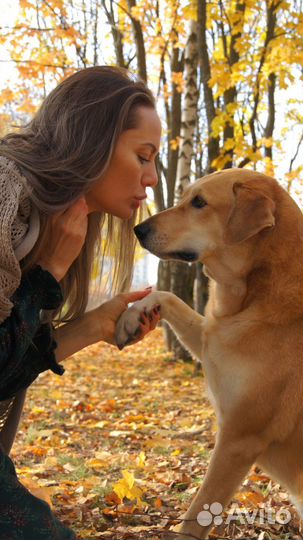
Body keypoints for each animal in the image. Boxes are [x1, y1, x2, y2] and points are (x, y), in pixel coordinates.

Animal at [115, 169, 302, 540]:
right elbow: (168, 295)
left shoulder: (238, 440)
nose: (138, 229)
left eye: (199, 203)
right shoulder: (211, 338)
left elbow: (198, 512)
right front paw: (133, 315)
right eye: (187, 196)